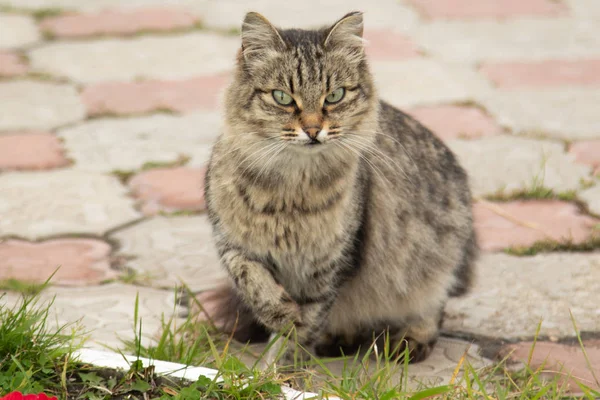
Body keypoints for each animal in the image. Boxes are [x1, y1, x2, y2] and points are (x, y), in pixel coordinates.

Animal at [204, 10, 476, 366]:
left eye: (334, 96)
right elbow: (253, 281)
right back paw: (338, 339)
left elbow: (306, 324)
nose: (312, 130)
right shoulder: (233, 243)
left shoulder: (331, 265)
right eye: (282, 98)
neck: (290, 192)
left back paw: (407, 342)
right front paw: (279, 315)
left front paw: (282, 365)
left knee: (434, 309)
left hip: (440, 260)